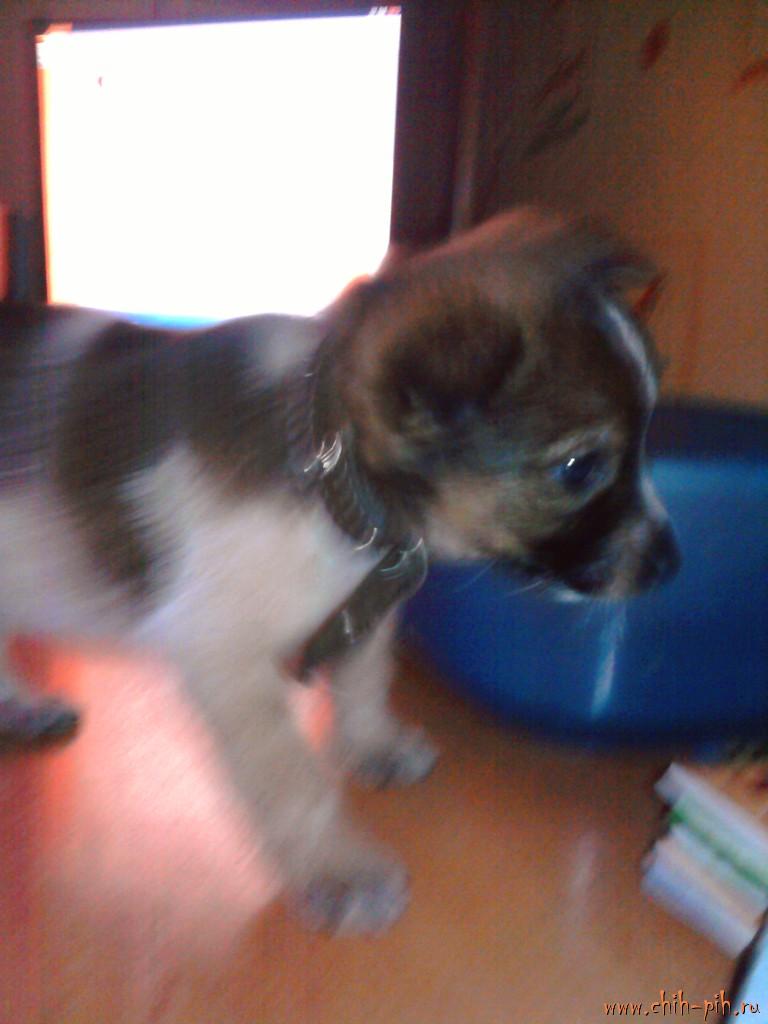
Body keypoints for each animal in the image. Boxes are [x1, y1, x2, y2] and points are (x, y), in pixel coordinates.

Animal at [0, 207, 678, 933]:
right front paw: (340, 871)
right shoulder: (225, 657)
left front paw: (373, 745)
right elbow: (294, 780)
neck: (329, 471)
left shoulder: (366, 604)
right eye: (578, 469)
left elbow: (363, 678)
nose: (671, 565)